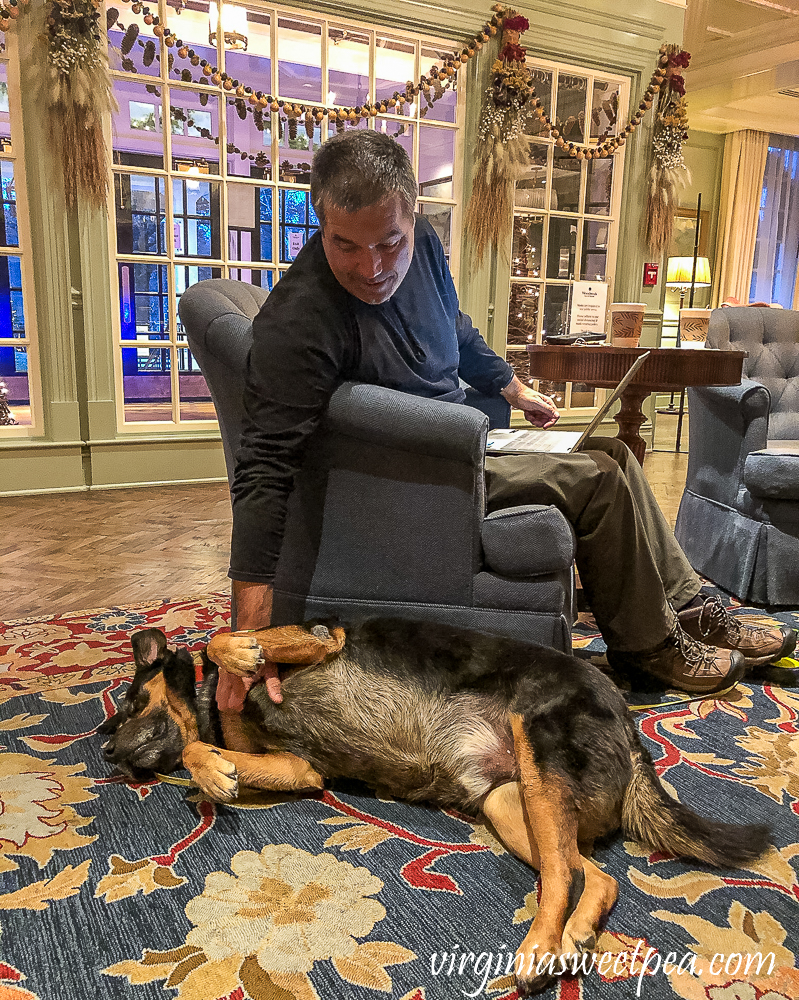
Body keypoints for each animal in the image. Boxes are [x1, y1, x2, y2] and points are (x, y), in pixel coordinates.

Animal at [98, 620, 768, 996]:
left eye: (128, 701)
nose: (107, 751)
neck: (215, 705)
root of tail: (629, 725)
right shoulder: (302, 768)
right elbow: (203, 752)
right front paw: (214, 769)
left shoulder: (323, 640)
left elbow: (229, 640)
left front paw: (239, 657)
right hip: (511, 804)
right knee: (591, 875)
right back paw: (573, 937)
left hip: (541, 763)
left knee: (562, 874)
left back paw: (537, 950)